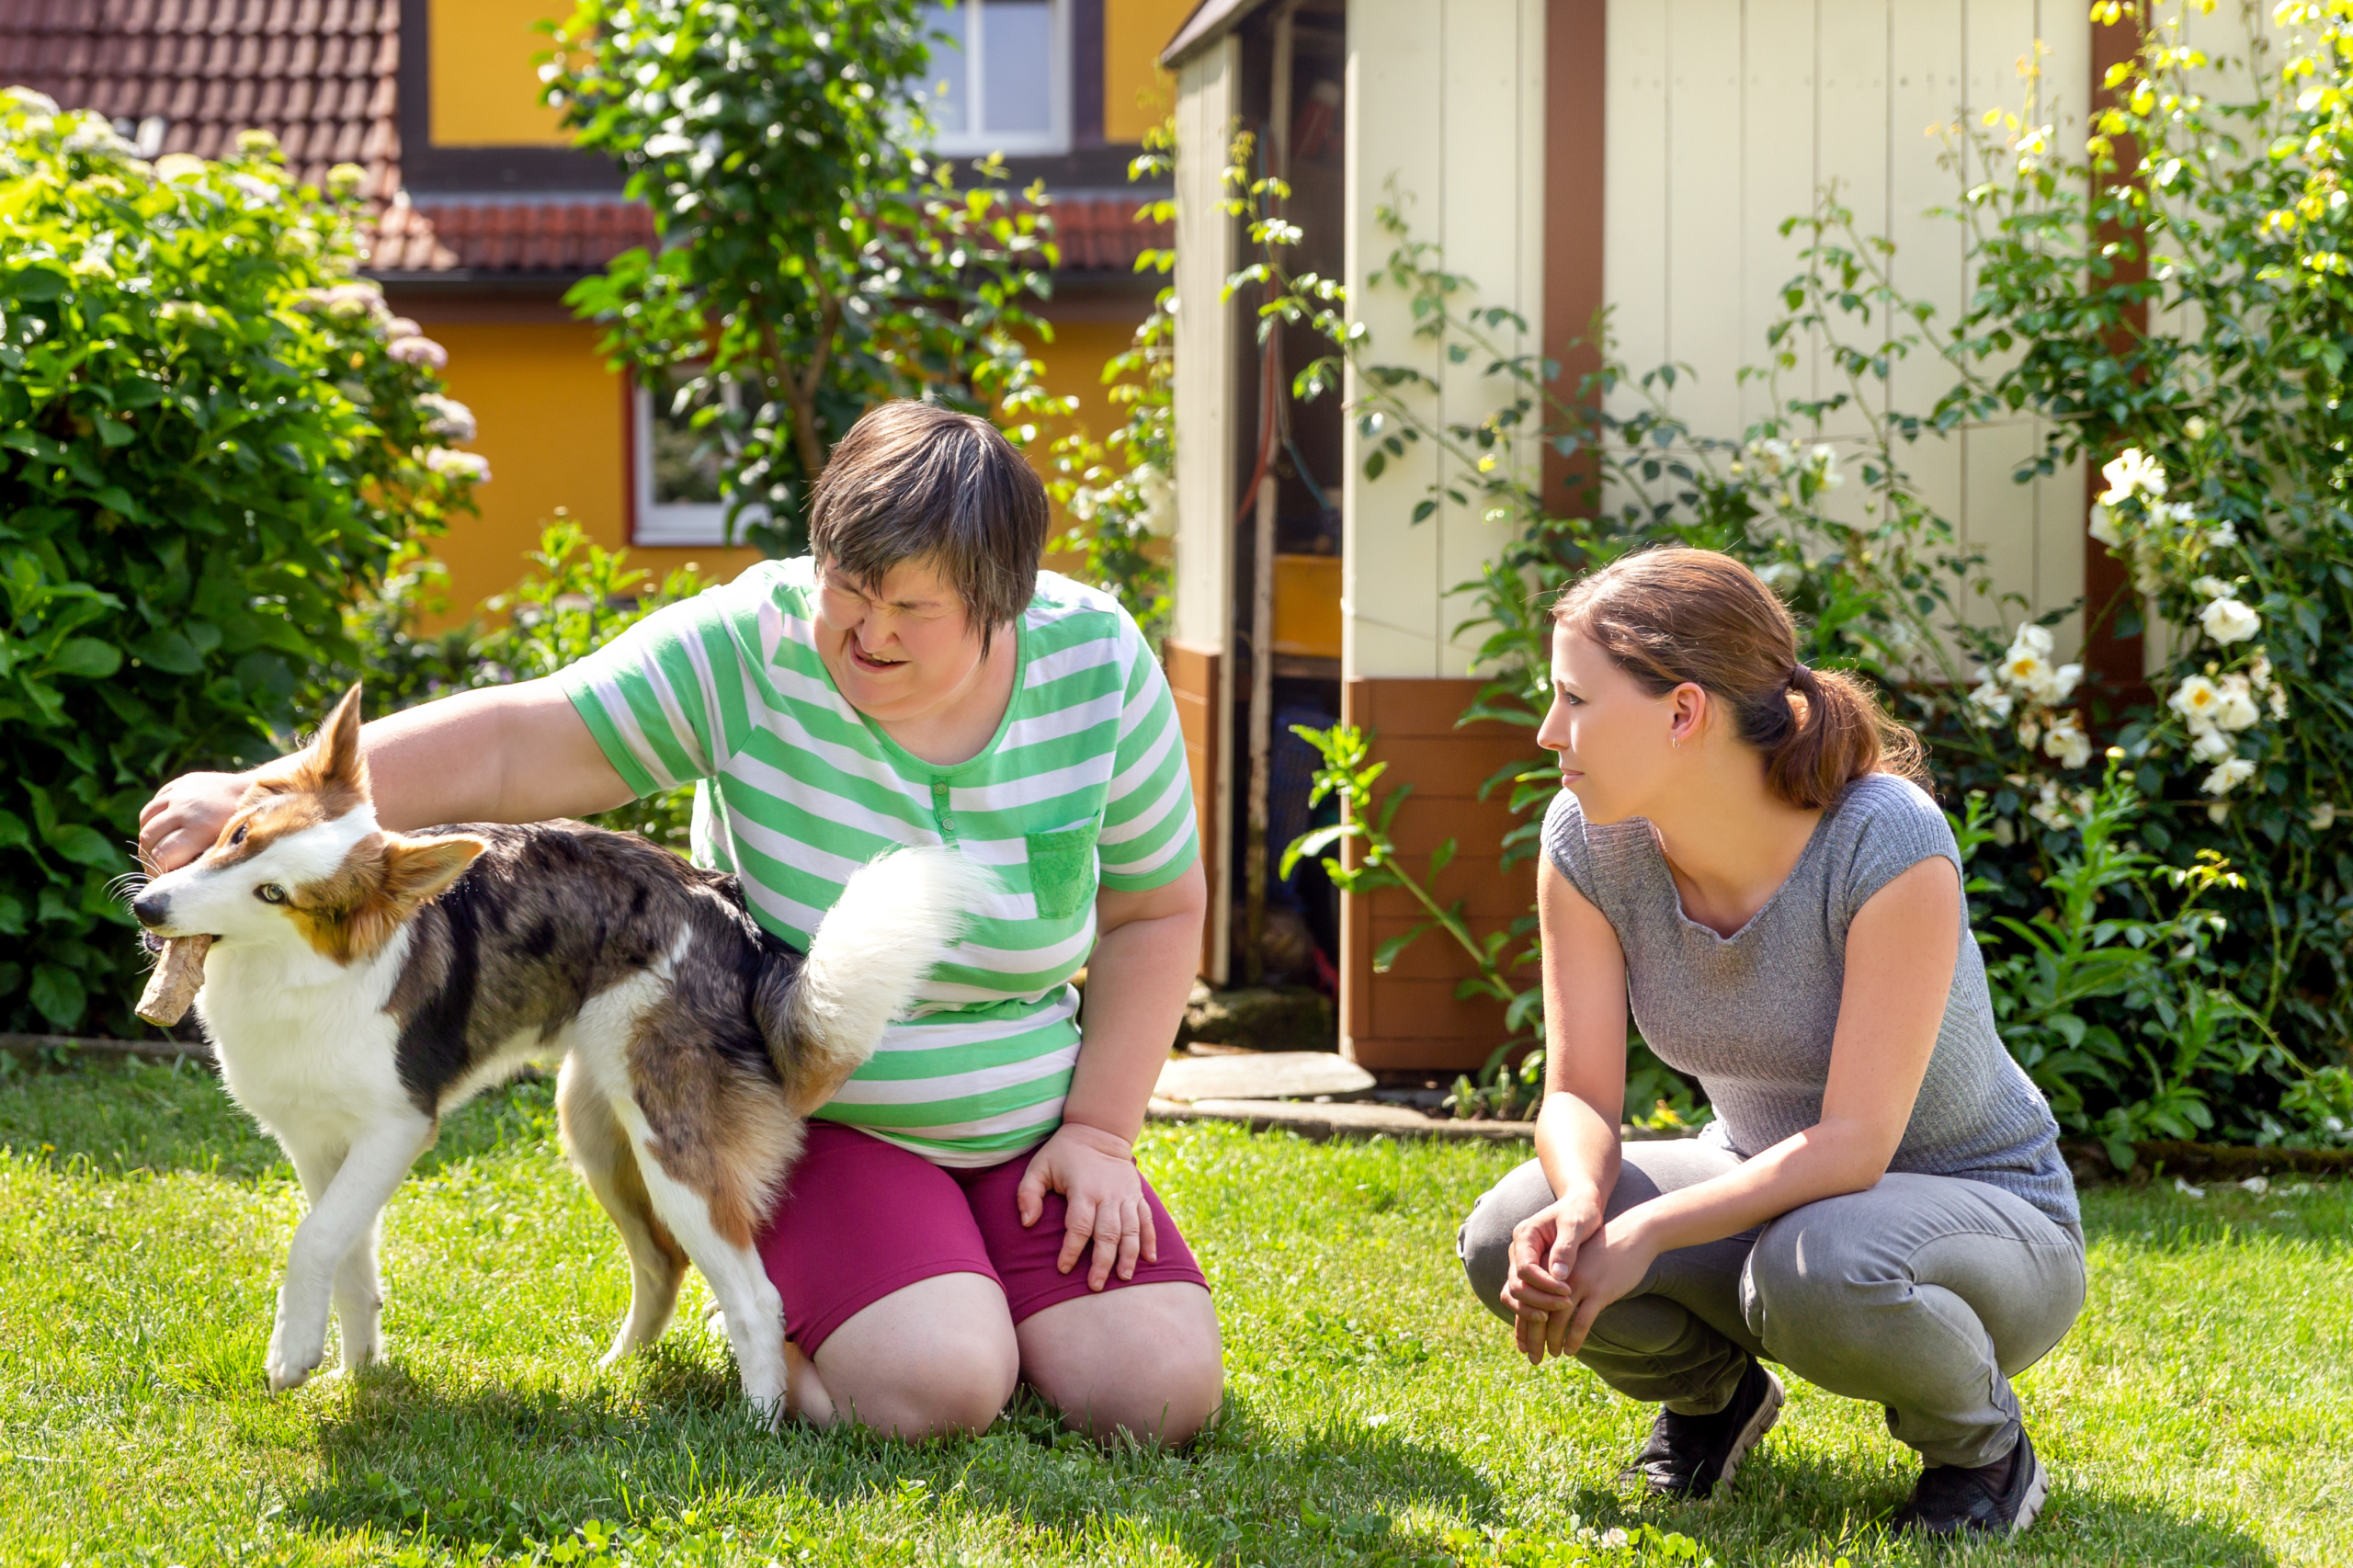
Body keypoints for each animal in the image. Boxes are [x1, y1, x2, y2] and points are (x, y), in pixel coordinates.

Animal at [124, 677, 988, 1412]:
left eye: (276, 893)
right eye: (237, 834)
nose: (149, 909)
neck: (292, 972)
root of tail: (729, 918)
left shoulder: (399, 1126)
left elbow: (312, 1242)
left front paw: (291, 1357)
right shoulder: (316, 1142)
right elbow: (344, 1254)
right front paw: (357, 1375)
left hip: (672, 1142)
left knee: (753, 1295)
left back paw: (760, 1426)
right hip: (596, 1127)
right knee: (663, 1265)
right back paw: (616, 1375)